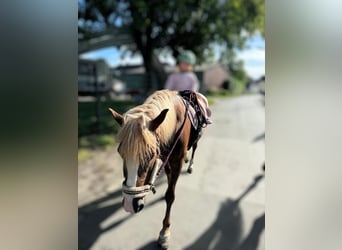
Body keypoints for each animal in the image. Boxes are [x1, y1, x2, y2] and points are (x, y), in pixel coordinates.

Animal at [109, 89, 211, 248]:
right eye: (120, 152)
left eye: (151, 154)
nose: (129, 204)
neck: (175, 122)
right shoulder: (165, 158)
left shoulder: (176, 162)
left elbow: (170, 195)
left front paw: (164, 233)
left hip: (197, 138)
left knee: (194, 147)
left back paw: (191, 165)